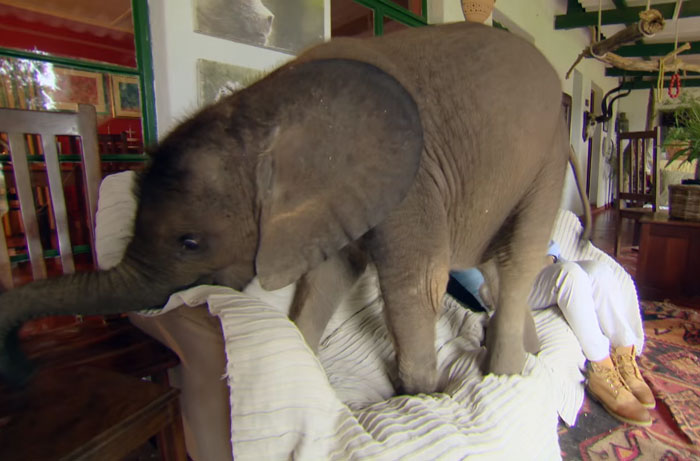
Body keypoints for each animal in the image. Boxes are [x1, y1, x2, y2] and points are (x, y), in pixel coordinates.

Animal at [0, 22, 590, 394]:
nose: (21, 370)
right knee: (497, 264)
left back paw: (504, 374)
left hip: (548, 157)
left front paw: (421, 396)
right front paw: (306, 362)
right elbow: (328, 275)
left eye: (190, 243)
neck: (264, 104)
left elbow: (413, 283)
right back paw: (524, 353)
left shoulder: (414, 178)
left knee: (519, 255)